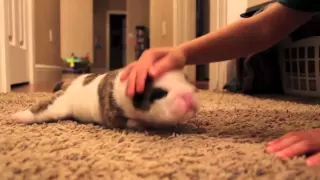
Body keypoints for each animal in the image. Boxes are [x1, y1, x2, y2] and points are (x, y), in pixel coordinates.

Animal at [11, 68, 200, 130]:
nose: (189, 96)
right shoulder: (113, 116)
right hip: (59, 106)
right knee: (42, 110)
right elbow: (130, 122)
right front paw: (141, 124)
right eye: (159, 93)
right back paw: (18, 116)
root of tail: (69, 85)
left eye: (186, 80)